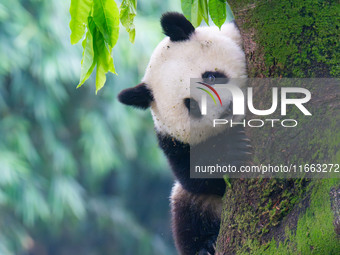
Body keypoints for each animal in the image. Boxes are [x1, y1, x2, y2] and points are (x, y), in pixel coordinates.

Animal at [118, 12, 251, 255]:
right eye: (192, 105)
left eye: (210, 76)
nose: (227, 108)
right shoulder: (172, 141)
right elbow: (191, 175)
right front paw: (232, 151)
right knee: (188, 214)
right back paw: (206, 245)